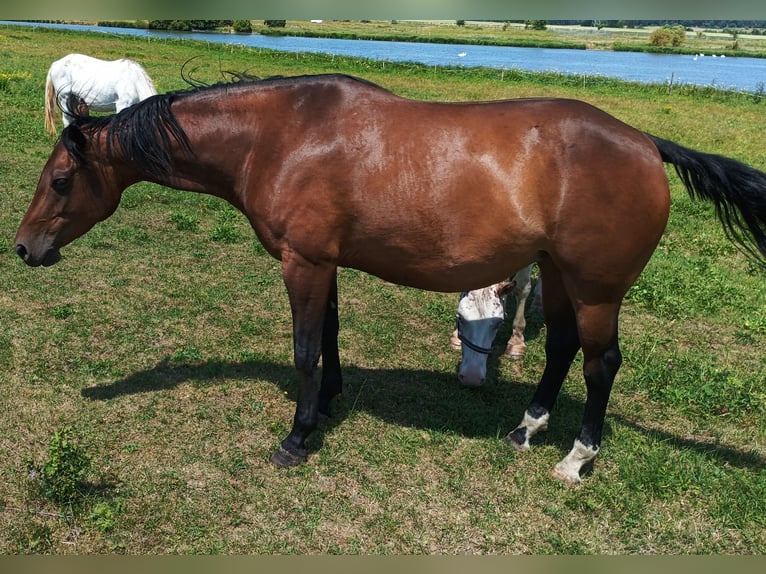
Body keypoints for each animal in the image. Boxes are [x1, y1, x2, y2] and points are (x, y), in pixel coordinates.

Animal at [15, 73, 766, 483]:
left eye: (61, 181)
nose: (24, 249)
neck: (279, 136)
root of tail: (645, 144)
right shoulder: (325, 262)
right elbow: (330, 340)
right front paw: (328, 406)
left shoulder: (304, 262)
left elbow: (306, 350)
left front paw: (297, 438)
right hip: (556, 274)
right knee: (558, 349)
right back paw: (526, 430)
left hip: (596, 287)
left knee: (600, 362)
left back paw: (576, 459)